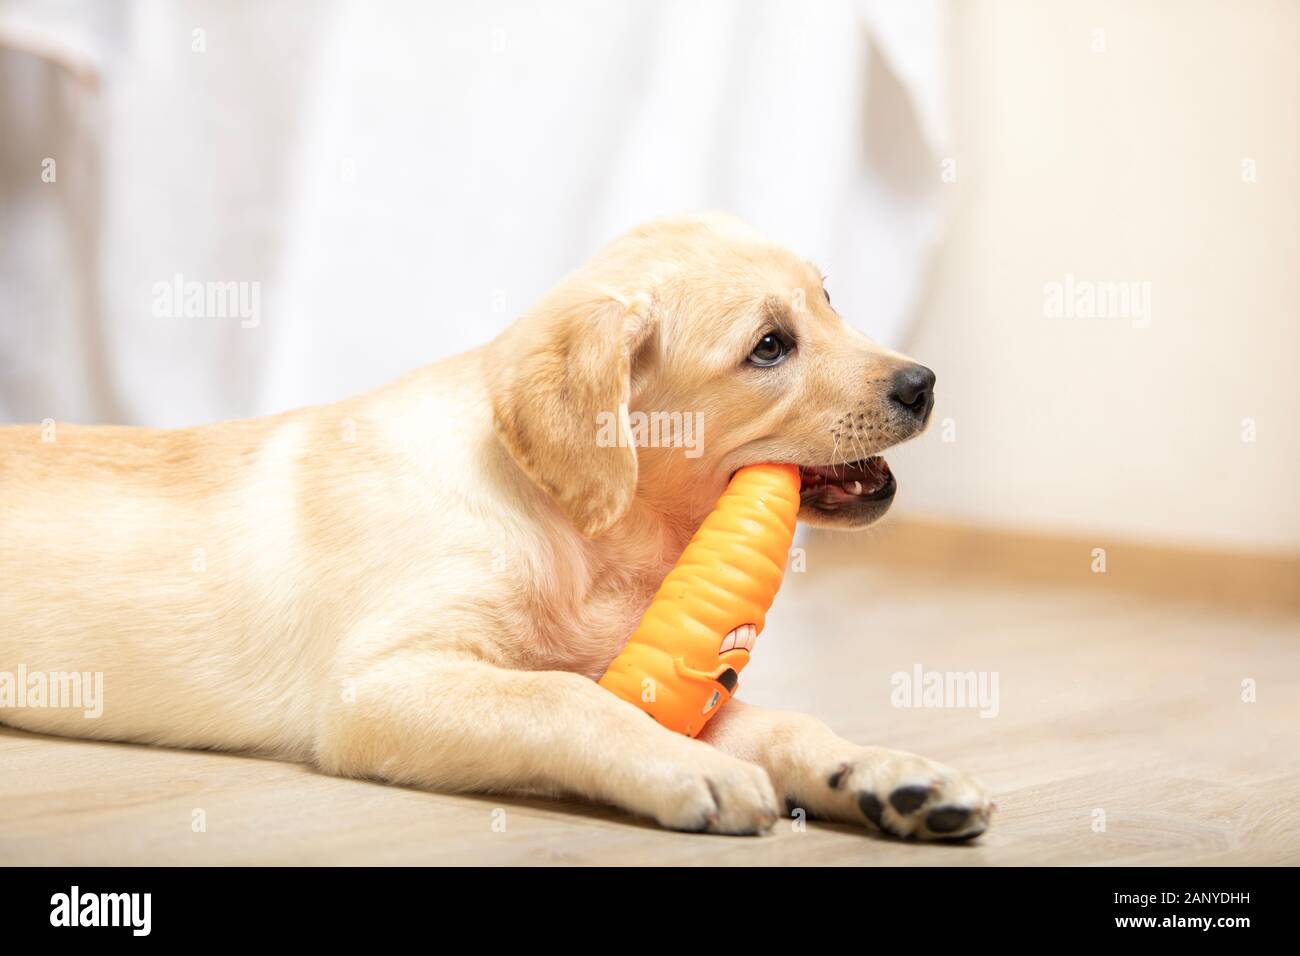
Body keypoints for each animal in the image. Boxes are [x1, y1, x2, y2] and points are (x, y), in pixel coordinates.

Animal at [2, 214, 993, 837]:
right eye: (770, 347)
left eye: (830, 299)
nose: (925, 383)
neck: (582, 538)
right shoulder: (377, 687)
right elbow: (558, 699)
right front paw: (693, 771)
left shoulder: (636, 670)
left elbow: (782, 722)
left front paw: (881, 773)